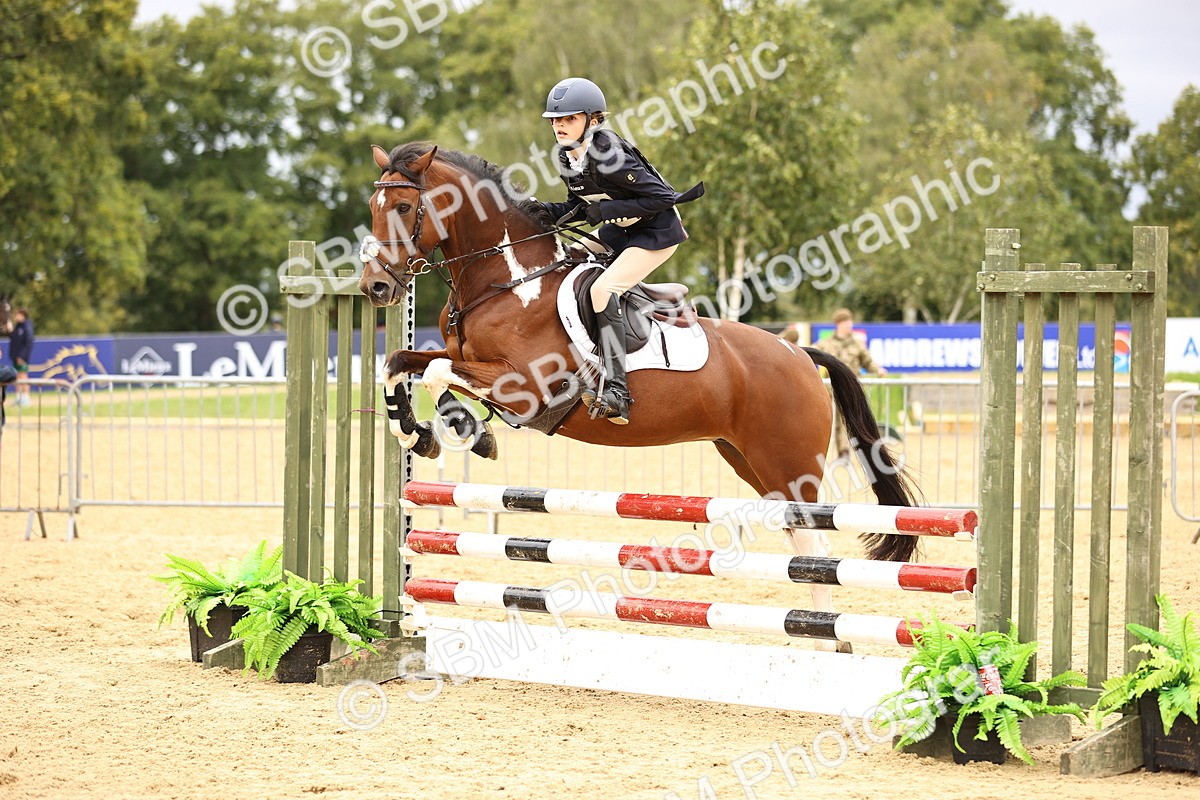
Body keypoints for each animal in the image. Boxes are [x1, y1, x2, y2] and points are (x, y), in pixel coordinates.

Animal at [358, 143, 918, 649]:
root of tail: (800, 352)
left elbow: (436, 373)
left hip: (788, 464)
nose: (375, 288)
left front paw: (463, 433)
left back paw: (827, 641)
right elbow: (402, 364)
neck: (510, 282)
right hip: (751, 462)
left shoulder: (527, 388)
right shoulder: (469, 366)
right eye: (372, 207)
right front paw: (423, 434)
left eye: (403, 207)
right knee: (799, 540)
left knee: (816, 545)